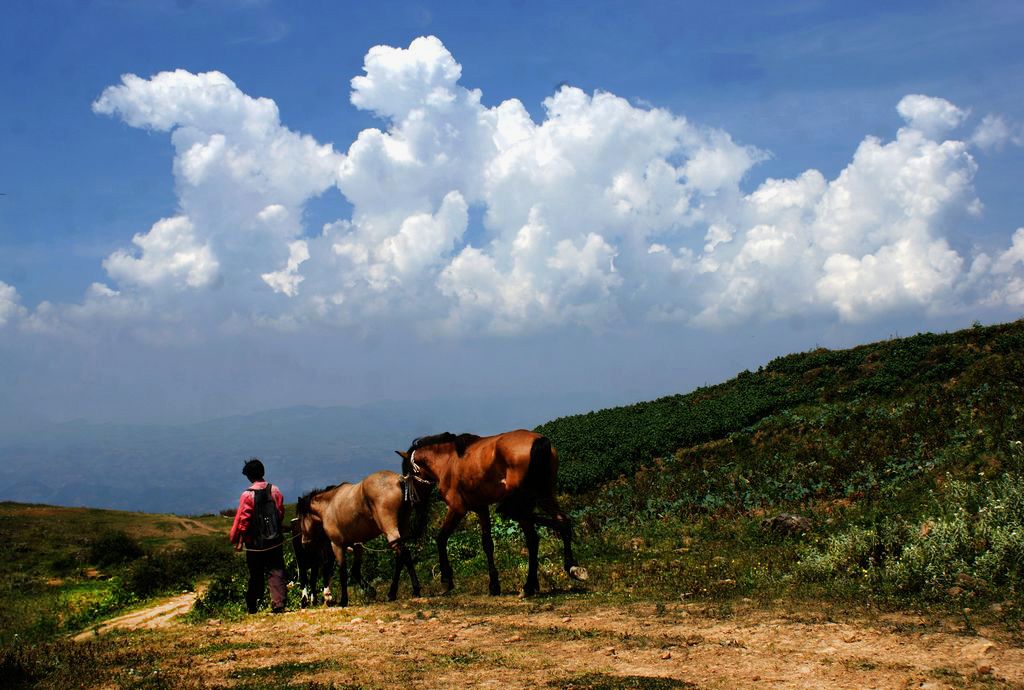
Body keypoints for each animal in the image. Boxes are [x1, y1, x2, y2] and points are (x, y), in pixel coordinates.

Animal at [294, 466, 421, 601]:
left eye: (301, 518)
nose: (304, 542)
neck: (328, 505)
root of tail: (399, 480)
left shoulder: (337, 545)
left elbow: (343, 572)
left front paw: (344, 600)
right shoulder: (357, 544)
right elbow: (355, 571)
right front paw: (370, 591)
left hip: (390, 530)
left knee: (404, 554)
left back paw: (407, 591)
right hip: (401, 529)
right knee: (401, 557)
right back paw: (397, 592)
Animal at [395, 427, 589, 593]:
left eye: (407, 476)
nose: (414, 503)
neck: (448, 461)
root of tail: (539, 441)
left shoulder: (457, 508)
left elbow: (441, 539)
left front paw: (446, 581)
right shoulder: (481, 508)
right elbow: (487, 544)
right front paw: (494, 585)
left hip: (526, 500)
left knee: (532, 534)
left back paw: (529, 585)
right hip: (546, 495)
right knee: (559, 521)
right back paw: (570, 566)